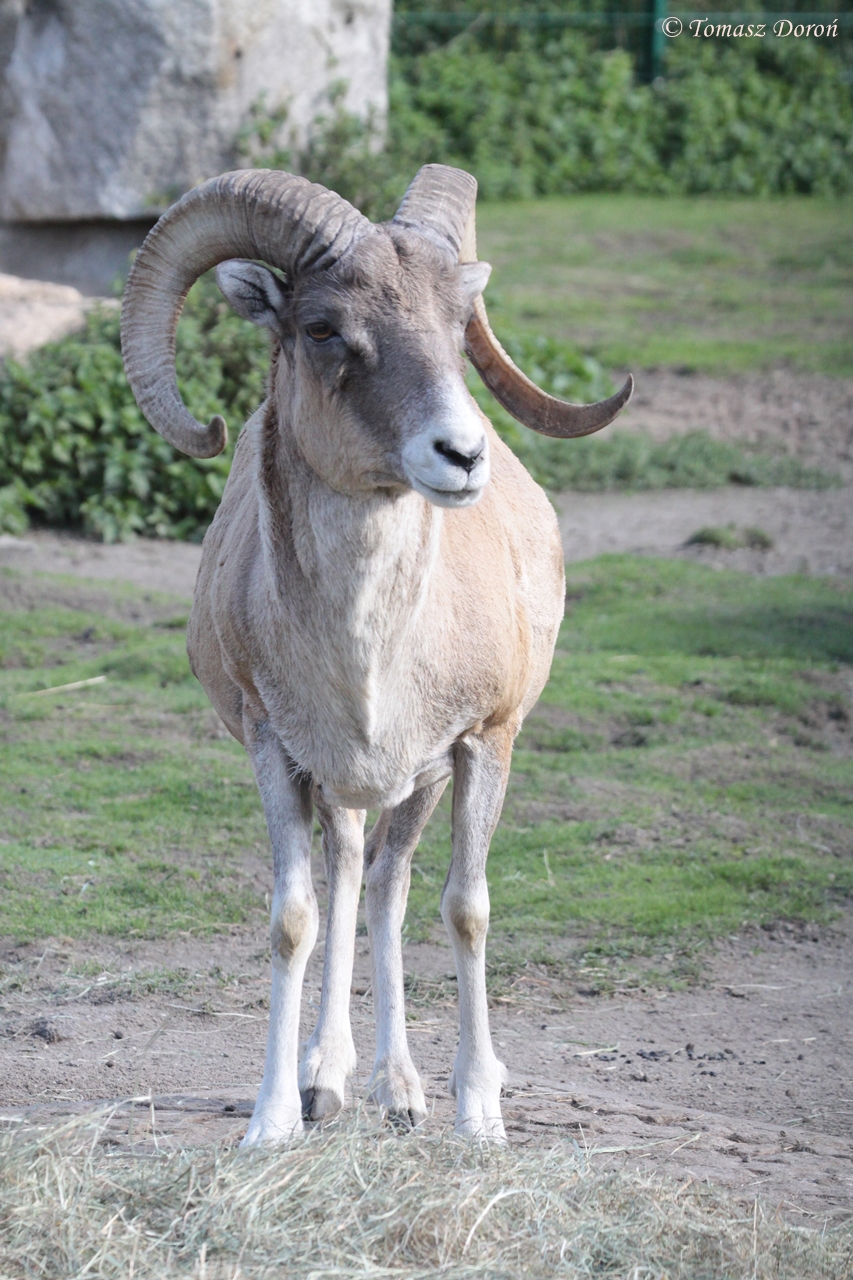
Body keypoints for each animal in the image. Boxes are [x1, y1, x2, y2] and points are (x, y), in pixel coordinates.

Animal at [121, 164, 632, 1144]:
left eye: (455, 324)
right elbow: (294, 919)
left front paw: (478, 1117)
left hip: (416, 785)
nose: (460, 455)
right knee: (354, 879)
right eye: (324, 329)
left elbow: (464, 910)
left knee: (390, 889)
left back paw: (400, 1090)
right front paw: (273, 1121)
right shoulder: (276, 753)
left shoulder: (479, 745)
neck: (369, 659)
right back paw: (330, 1081)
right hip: (348, 790)